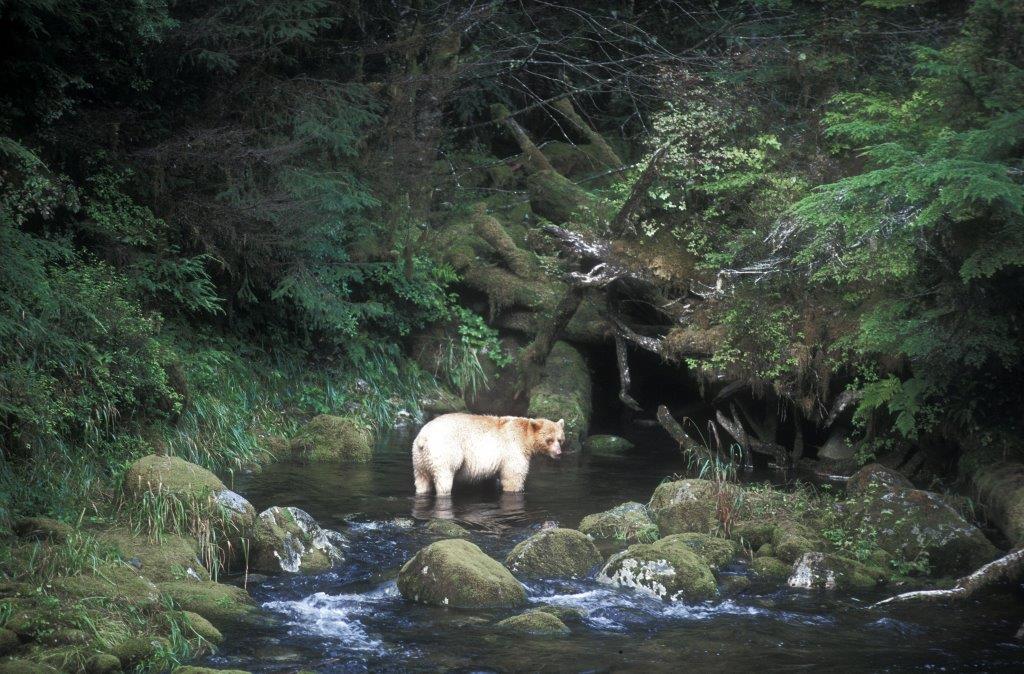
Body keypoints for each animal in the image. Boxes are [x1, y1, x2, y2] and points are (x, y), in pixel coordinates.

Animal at [412, 413, 565, 496]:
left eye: (560, 439)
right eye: (549, 440)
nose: (558, 453)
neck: (525, 438)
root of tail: (423, 437)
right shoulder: (513, 450)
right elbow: (513, 476)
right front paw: (514, 489)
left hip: (419, 459)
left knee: (422, 480)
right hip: (444, 452)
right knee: (444, 479)